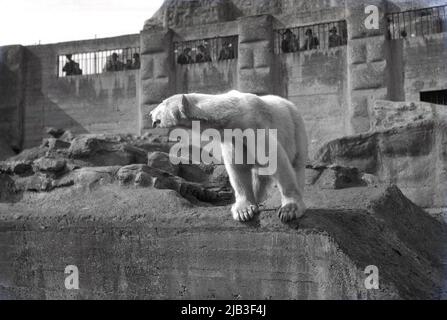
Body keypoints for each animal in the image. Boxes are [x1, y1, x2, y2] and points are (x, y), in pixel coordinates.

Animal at [150, 90, 308, 222]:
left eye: (163, 102)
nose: (150, 113)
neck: (231, 114)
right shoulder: (232, 138)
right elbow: (238, 168)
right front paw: (244, 210)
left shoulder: (255, 127)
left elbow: (274, 158)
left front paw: (289, 210)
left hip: (296, 128)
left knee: (297, 164)